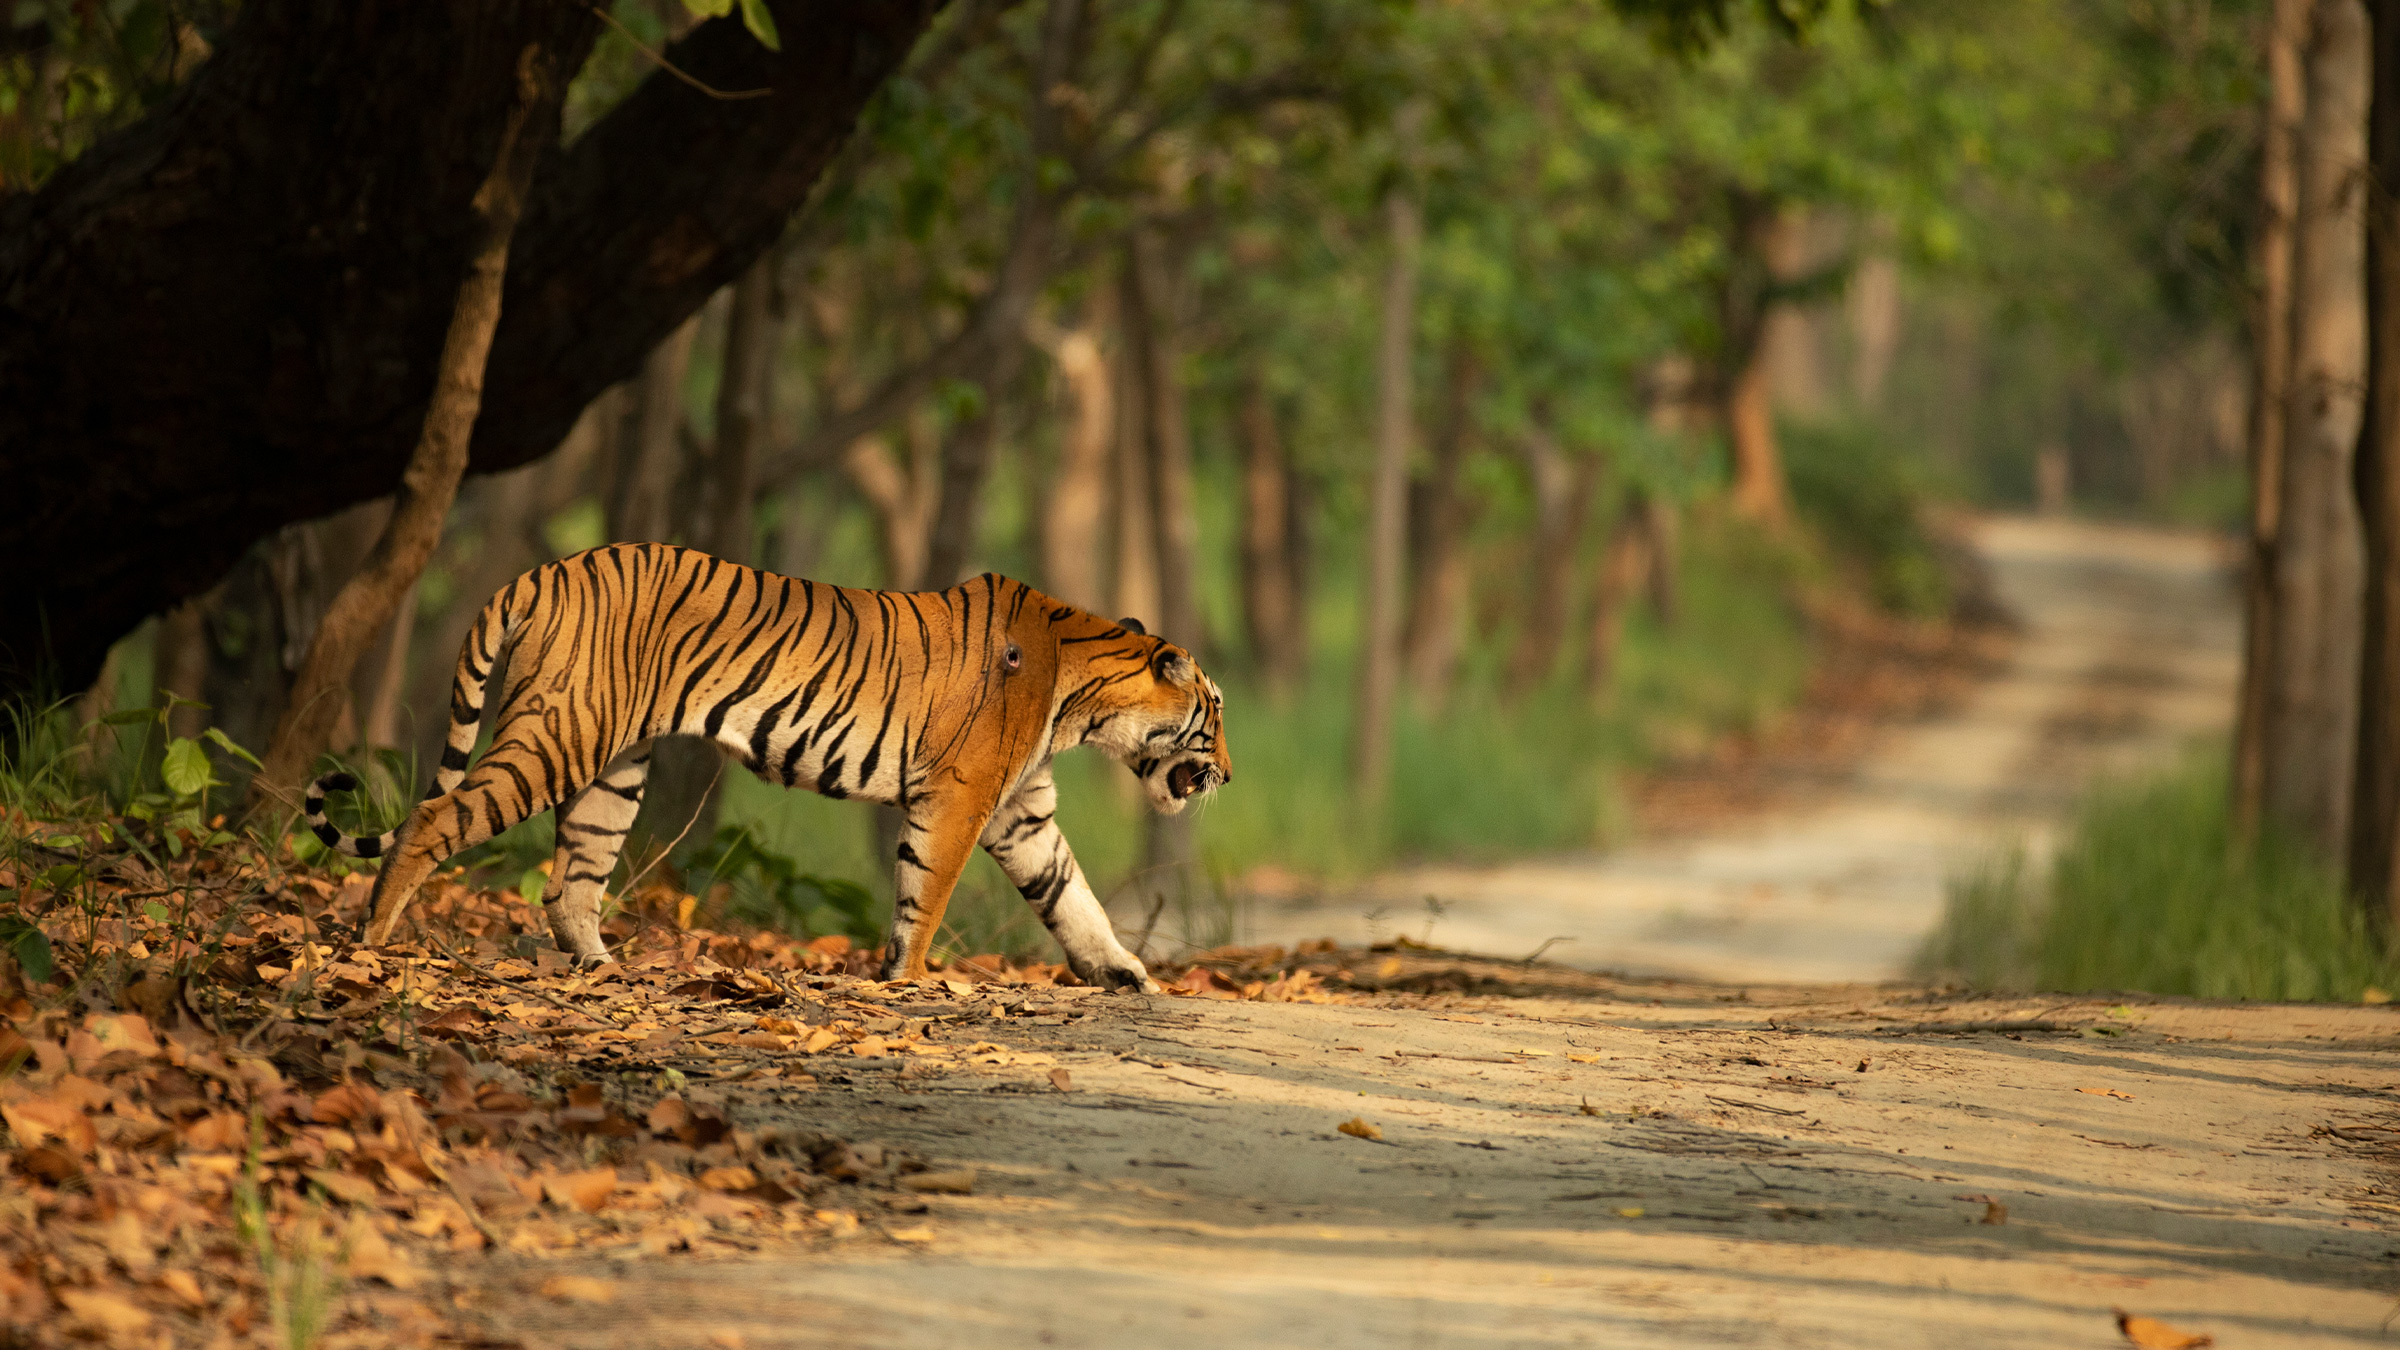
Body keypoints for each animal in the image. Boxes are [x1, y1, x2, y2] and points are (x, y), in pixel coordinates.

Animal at [302, 540, 1228, 994]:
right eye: (1214, 725)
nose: (1225, 776)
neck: (1083, 695)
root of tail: (545, 570)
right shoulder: (962, 797)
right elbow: (926, 894)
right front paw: (909, 981)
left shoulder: (1020, 811)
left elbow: (1071, 895)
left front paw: (1122, 972)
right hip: (560, 735)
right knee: (432, 820)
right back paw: (373, 942)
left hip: (614, 770)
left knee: (570, 880)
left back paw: (605, 969)